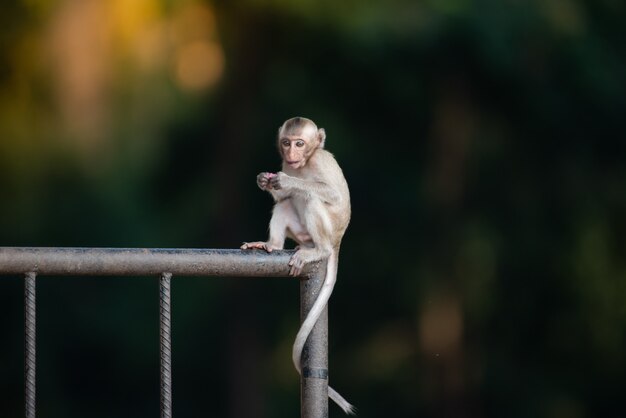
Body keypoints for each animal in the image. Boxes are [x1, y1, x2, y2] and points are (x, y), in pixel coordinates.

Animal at [241, 117, 354, 414]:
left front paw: (285, 180)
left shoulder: (320, 163)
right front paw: (264, 181)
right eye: (286, 143)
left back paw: (319, 251)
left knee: (311, 197)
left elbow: (333, 195)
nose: (291, 153)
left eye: (300, 143)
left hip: (328, 231)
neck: (304, 164)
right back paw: (271, 245)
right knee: (287, 202)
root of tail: (337, 240)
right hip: (300, 235)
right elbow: (282, 197)